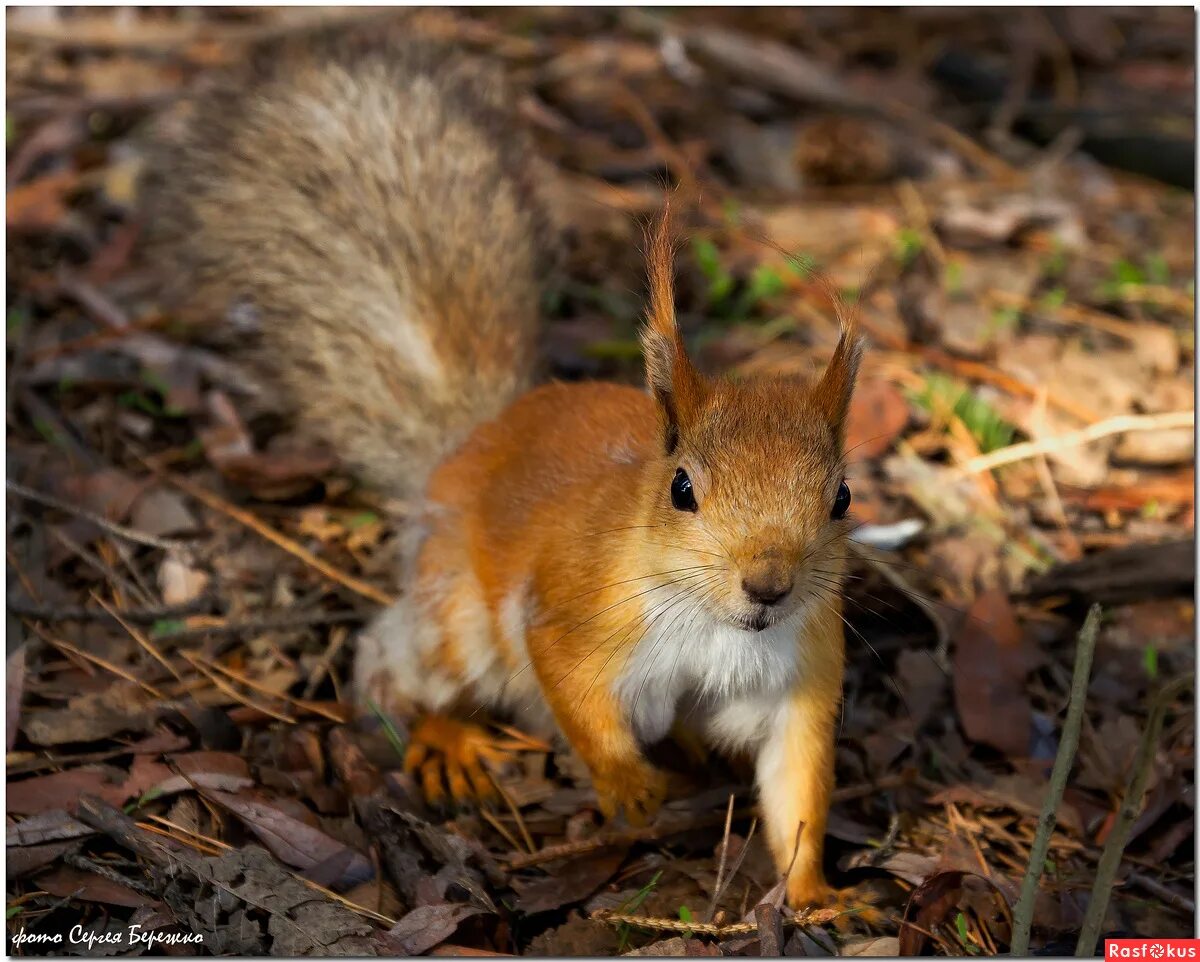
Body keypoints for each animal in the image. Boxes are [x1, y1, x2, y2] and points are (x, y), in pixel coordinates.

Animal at [147, 33, 864, 911]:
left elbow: (798, 790)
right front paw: (627, 784)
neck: (718, 631)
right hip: (456, 619)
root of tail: (475, 439)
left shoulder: (801, 678)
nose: (768, 586)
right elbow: (574, 694)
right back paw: (447, 739)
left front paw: (815, 896)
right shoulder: (573, 612)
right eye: (683, 489)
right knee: (391, 673)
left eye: (842, 497)